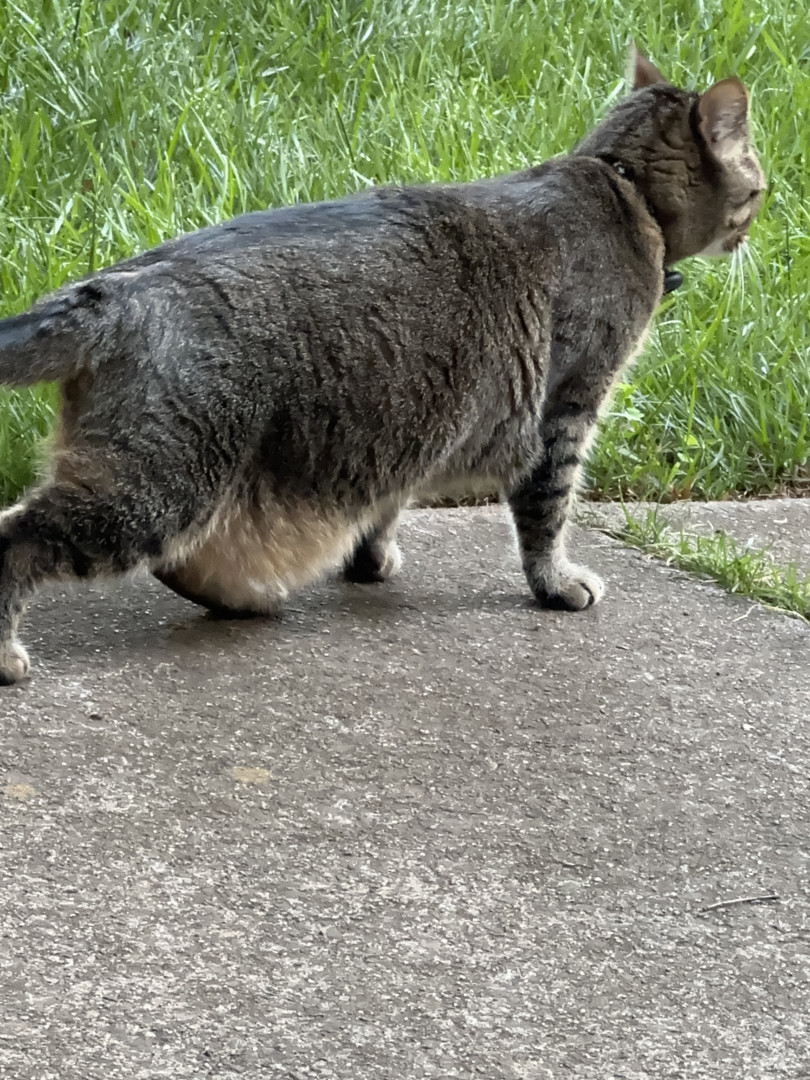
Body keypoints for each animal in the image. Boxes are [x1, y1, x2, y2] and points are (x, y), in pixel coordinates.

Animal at [0, 49, 764, 685]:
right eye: (755, 185)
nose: (763, 214)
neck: (621, 184)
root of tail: (117, 290)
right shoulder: (566, 407)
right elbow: (548, 512)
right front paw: (556, 584)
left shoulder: (412, 423)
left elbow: (387, 504)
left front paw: (369, 562)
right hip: (156, 485)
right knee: (19, 536)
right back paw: (10, 654)